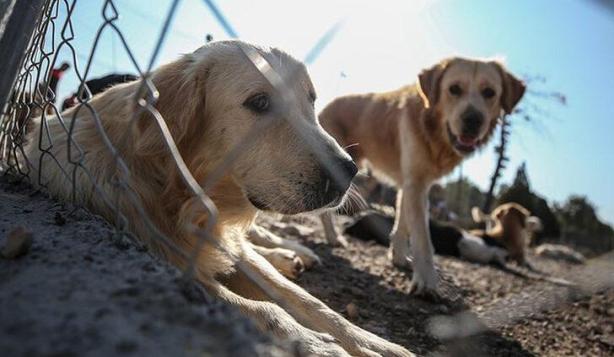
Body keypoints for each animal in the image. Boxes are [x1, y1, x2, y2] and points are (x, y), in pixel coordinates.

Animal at [320, 57, 528, 294]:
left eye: (489, 92)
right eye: (454, 89)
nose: (473, 121)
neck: (432, 129)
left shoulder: (410, 184)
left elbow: (402, 225)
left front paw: (399, 259)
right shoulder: (416, 185)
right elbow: (422, 237)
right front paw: (427, 281)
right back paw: (333, 237)